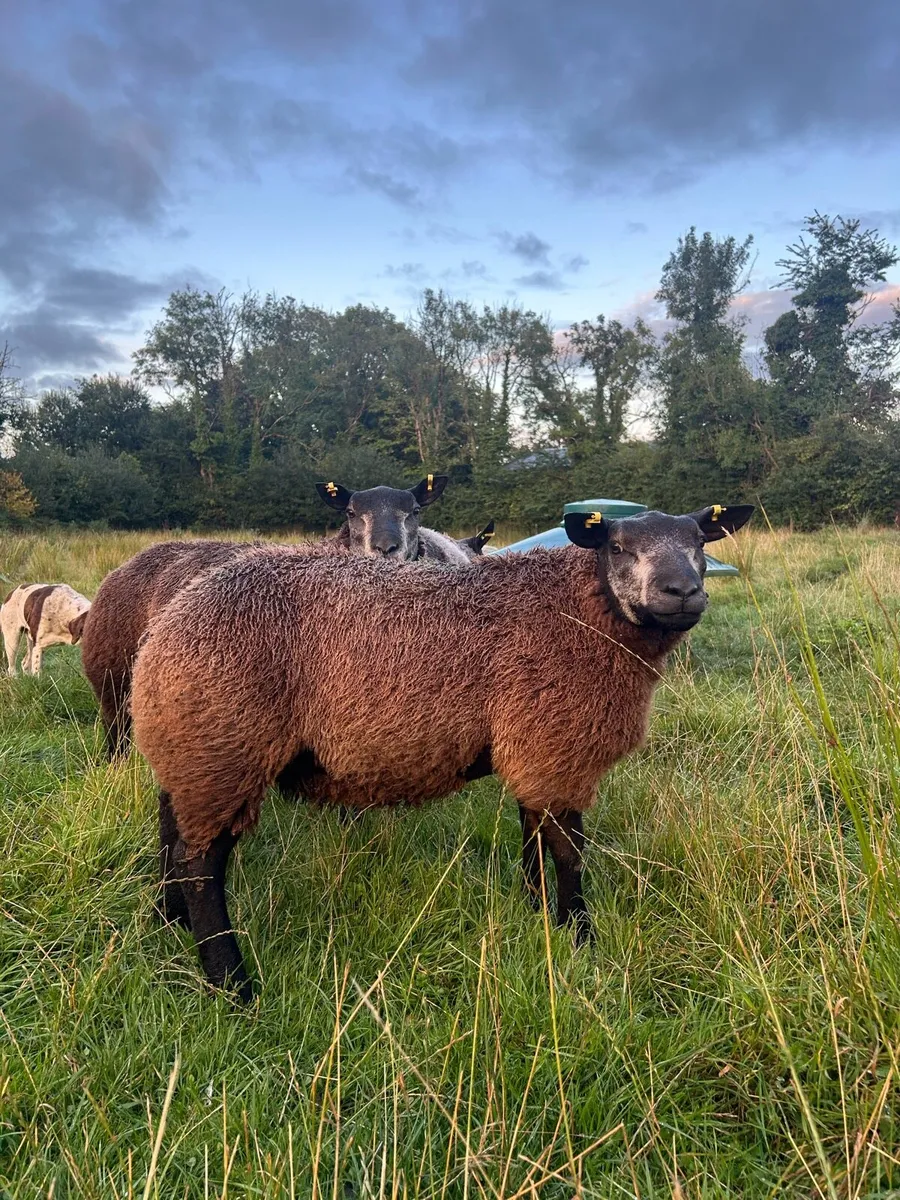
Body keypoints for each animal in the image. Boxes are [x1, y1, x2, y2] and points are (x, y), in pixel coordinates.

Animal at [131, 502, 754, 1001]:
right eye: (618, 547)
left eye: (700, 545)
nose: (682, 592)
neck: (579, 609)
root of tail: (167, 627)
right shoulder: (556, 744)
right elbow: (569, 851)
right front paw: (580, 936)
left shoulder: (533, 748)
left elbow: (532, 833)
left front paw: (539, 914)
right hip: (224, 745)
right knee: (201, 864)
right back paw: (232, 983)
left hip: (190, 747)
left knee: (173, 833)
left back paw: (170, 922)